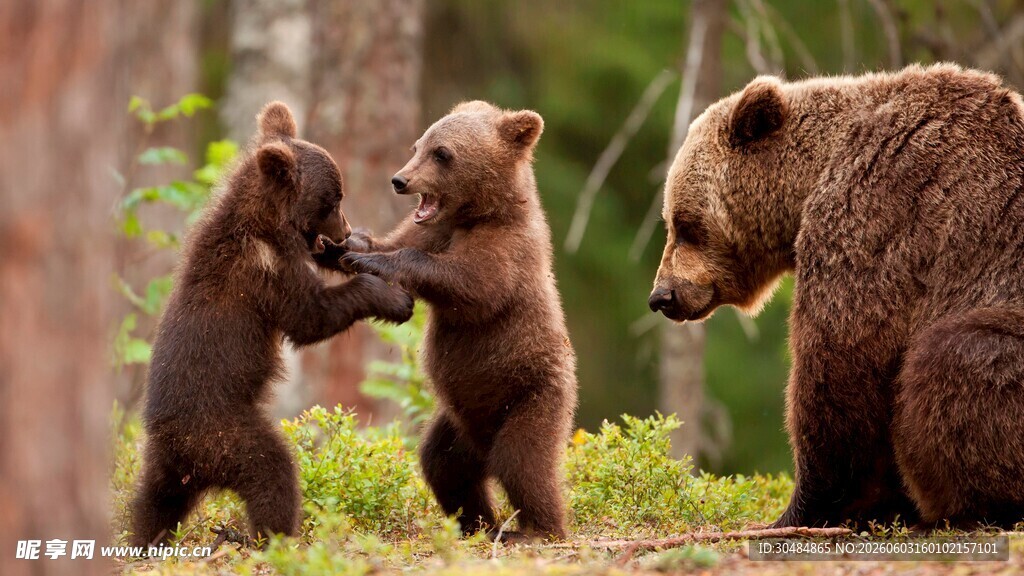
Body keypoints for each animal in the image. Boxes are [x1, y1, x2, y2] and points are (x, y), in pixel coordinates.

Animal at [130, 101, 414, 547]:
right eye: (333, 199)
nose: (346, 229)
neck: (266, 225)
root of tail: (181, 450)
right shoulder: (264, 273)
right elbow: (310, 316)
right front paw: (393, 299)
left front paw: (359, 252)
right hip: (224, 433)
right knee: (272, 470)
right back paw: (268, 537)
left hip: (168, 465)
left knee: (153, 502)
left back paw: (143, 540)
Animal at [336, 101, 578, 540]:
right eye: (418, 145)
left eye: (442, 153)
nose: (399, 180)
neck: (478, 214)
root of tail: (482, 444)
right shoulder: (434, 229)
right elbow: (398, 242)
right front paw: (354, 244)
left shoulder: (508, 250)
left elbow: (472, 285)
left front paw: (374, 260)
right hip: (458, 422)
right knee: (443, 464)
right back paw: (478, 523)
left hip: (532, 395)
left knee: (523, 462)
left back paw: (537, 529)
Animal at [648, 63, 1024, 529]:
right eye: (671, 221)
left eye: (685, 224)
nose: (662, 295)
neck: (810, 178)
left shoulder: (879, 214)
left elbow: (841, 362)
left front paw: (801, 508)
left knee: (953, 355)